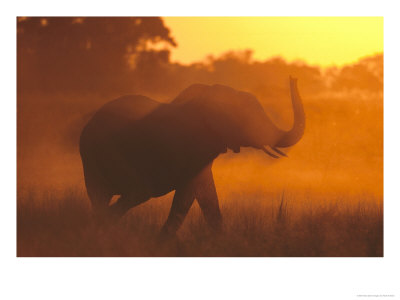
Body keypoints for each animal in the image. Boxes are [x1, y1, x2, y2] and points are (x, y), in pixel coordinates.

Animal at [79, 78, 304, 239]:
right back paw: (105, 224)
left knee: (103, 195)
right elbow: (189, 194)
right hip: (106, 151)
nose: (293, 77)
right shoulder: (194, 147)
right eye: (252, 120)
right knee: (137, 192)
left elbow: (205, 193)